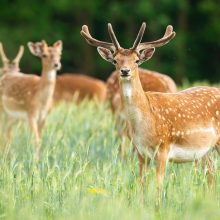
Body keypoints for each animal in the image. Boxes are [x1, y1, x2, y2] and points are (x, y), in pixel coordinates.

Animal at [81, 22, 220, 198]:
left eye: (136, 60)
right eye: (115, 60)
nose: (125, 71)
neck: (145, 123)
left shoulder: (163, 149)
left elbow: (159, 187)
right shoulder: (141, 153)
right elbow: (141, 185)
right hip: (204, 150)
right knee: (211, 171)